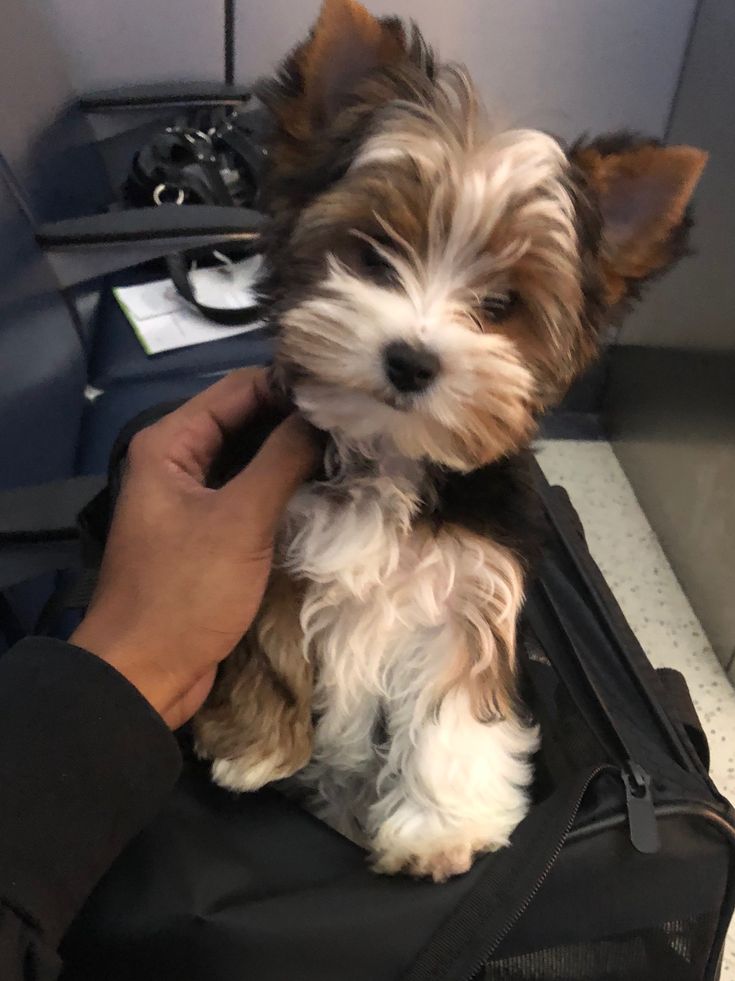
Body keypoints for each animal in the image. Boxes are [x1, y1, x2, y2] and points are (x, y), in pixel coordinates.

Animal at [194, 0, 708, 880]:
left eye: (500, 305)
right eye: (371, 256)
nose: (410, 358)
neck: (392, 457)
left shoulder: (468, 591)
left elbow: (451, 706)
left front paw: (440, 828)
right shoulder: (272, 527)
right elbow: (265, 622)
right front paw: (254, 744)